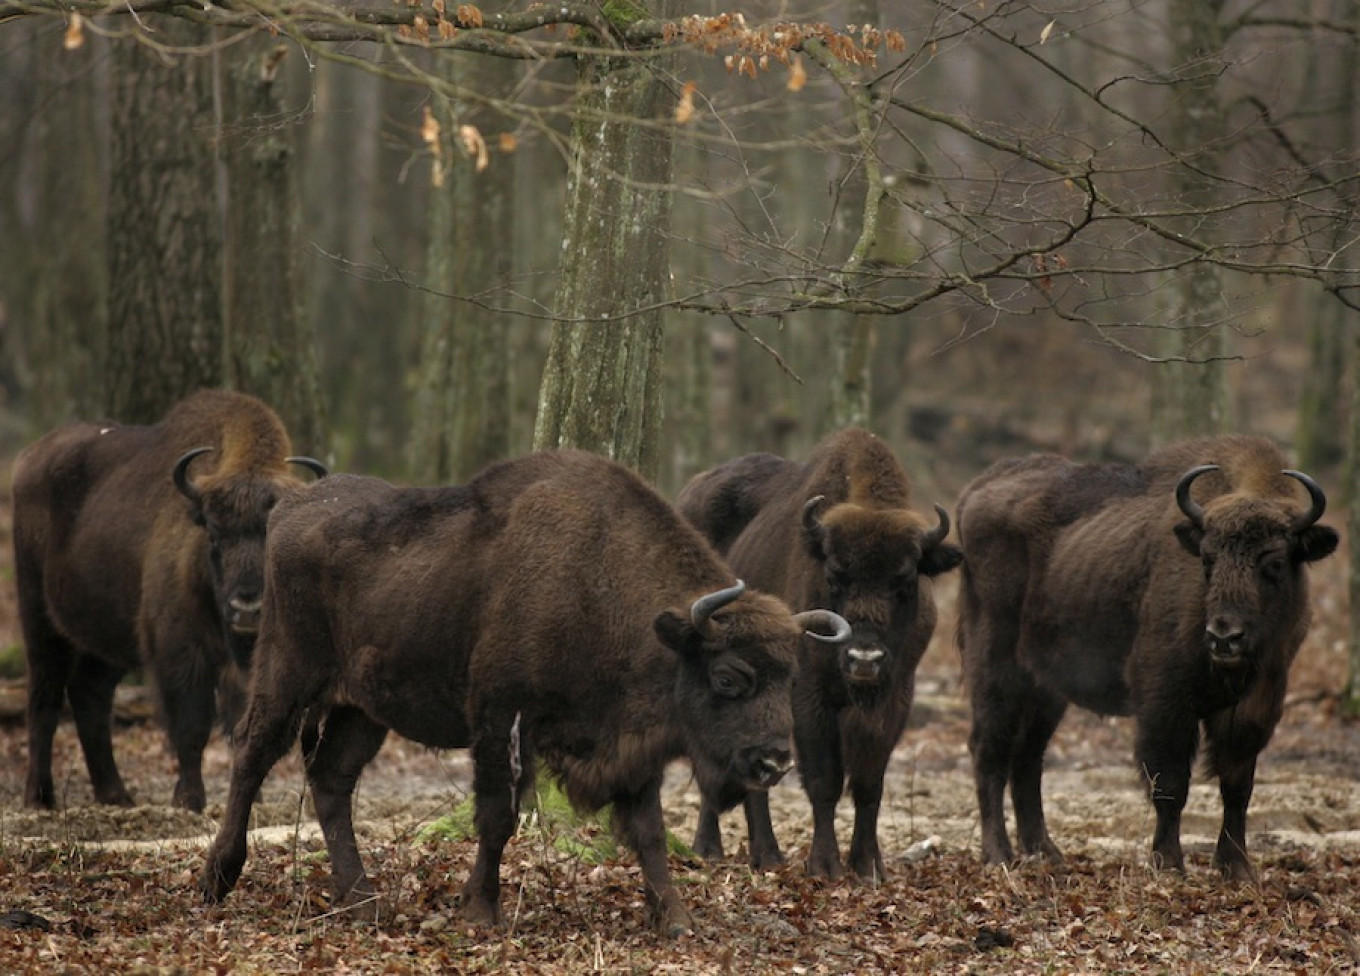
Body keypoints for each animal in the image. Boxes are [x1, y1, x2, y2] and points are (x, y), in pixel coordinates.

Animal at [12, 388, 323, 810]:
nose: (247, 608)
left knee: (90, 695)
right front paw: (189, 798)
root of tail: (28, 459)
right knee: (44, 696)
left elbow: (239, 723)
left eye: (272, 535)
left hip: (107, 641)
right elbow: (192, 725)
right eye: (213, 535)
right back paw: (40, 798)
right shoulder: (179, 652)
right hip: (39, 618)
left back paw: (115, 794)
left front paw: (251, 797)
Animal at [198, 451, 848, 935]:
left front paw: (677, 919)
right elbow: (498, 818)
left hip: (364, 708)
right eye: (729, 677)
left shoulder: (631, 748)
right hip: (288, 672)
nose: (773, 761)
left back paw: (362, 900)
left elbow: (649, 831)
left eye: (790, 677)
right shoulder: (499, 721)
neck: (600, 589)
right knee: (251, 754)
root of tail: (291, 507)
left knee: (331, 777)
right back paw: (217, 880)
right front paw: (480, 911)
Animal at [677, 432, 957, 880]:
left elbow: (869, 781)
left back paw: (765, 854)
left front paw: (868, 864)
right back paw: (713, 848)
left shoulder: (896, 696)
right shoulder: (810, 695)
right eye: (835, 577)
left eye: (905, 581)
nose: (864, 659)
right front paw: (824, 864)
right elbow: (825, 780)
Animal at [957, 434, 1338, 880]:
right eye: (1206, 559)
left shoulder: (1255, 705)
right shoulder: (1165, 700)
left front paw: (1237, 868)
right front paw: (1169, 863)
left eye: (1275, 562)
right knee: (989, 749)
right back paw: (998, 854)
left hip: (1045, 690)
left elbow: (1237, 785)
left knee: (1027, 758)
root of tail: (975, 490)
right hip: (995, 668)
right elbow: (1170, 783)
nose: (1224, 637)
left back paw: (1046, 852)